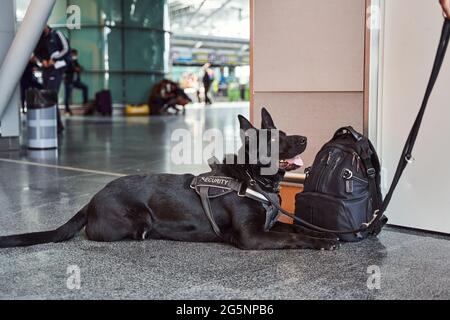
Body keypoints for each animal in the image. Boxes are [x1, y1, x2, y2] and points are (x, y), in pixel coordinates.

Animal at [0, 109, 338, 251]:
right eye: (276, 139)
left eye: (286, 133)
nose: (306, 138)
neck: (252, 179)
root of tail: (92, 199)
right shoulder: (251, 237)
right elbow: (293, 237)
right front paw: (320, 243)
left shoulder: (270, 225)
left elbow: (295, 227)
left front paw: (322, 234)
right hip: (133, 220)